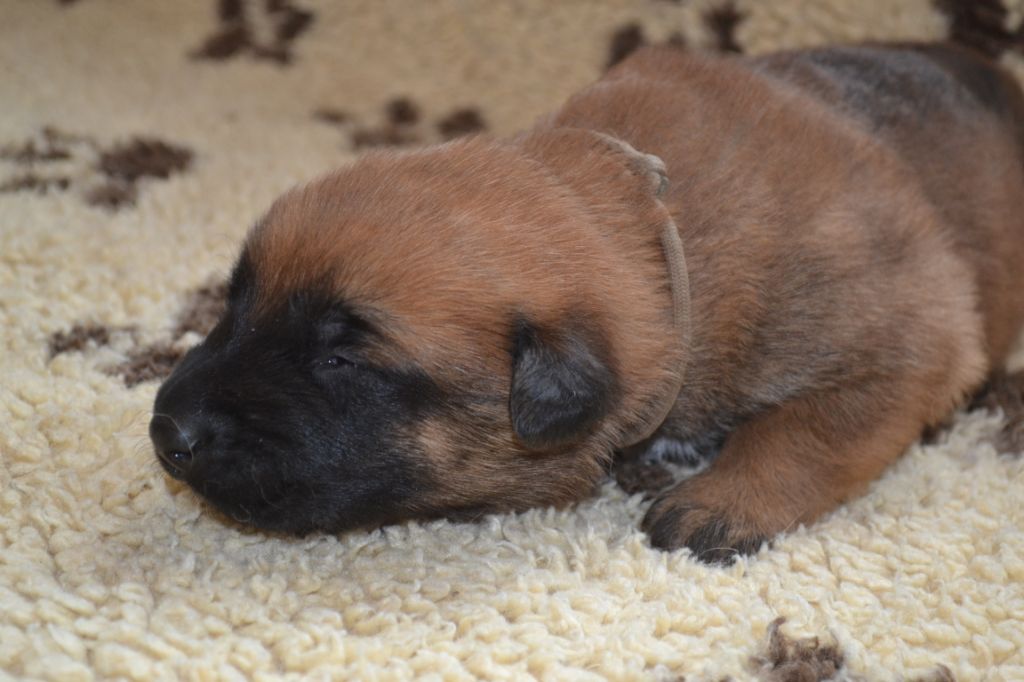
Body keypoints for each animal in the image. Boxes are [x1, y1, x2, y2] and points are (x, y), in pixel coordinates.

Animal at [149, 43, 1024, 561]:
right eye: (235, 307)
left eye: (340, 358)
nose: (168, 432)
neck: (660, 235)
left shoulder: (912, 335)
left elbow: (812, 428)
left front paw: (721, 501)